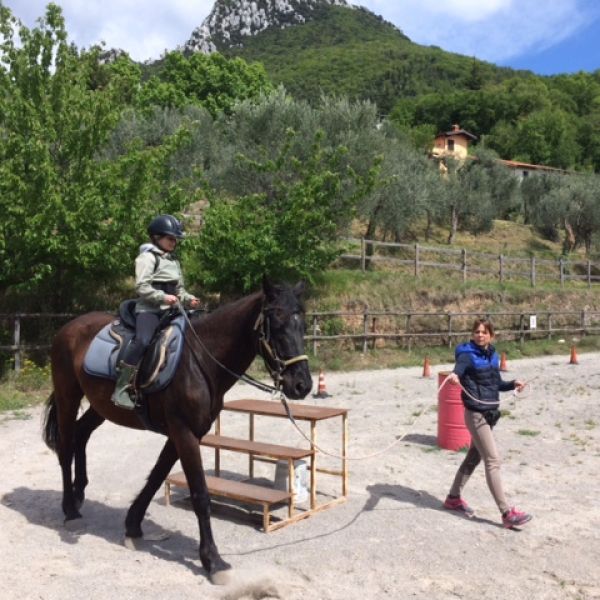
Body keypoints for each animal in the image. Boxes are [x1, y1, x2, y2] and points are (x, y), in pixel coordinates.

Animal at [41, 280, 314, 580]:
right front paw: (212, 560)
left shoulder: (184, 433)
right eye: (275, 322)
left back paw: (79, 495)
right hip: (68, 396)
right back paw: (70, 511)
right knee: (65, 446)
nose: (302, 385)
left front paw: (133, 526)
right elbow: (200, 494)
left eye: (302, 323)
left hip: (100, 406)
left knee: (81, 435)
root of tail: (68, 327)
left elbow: (157, 476)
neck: (201, 361)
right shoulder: (184, 433)